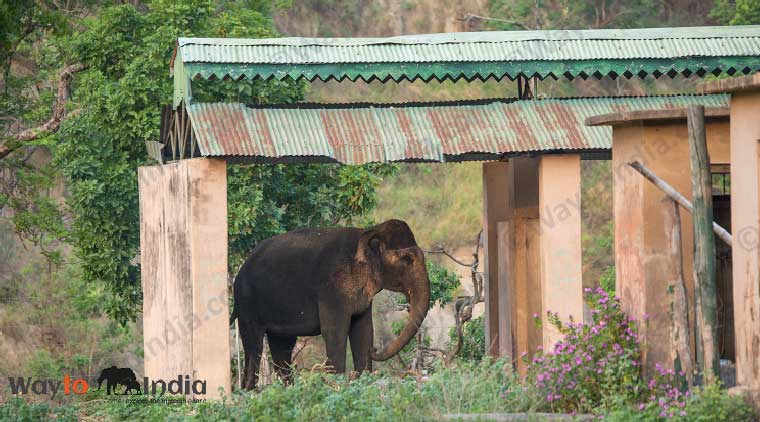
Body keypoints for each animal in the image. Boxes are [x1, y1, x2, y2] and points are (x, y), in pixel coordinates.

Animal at [232, 219, 430, 390]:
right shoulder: (331, 290)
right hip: (246, 303)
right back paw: (248, 391)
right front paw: (338, 385)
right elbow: (335, 332)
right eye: (407, 259)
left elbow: (363, 331)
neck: (366, 233)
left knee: (282, 347)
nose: (374, 350)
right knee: (254, 346)